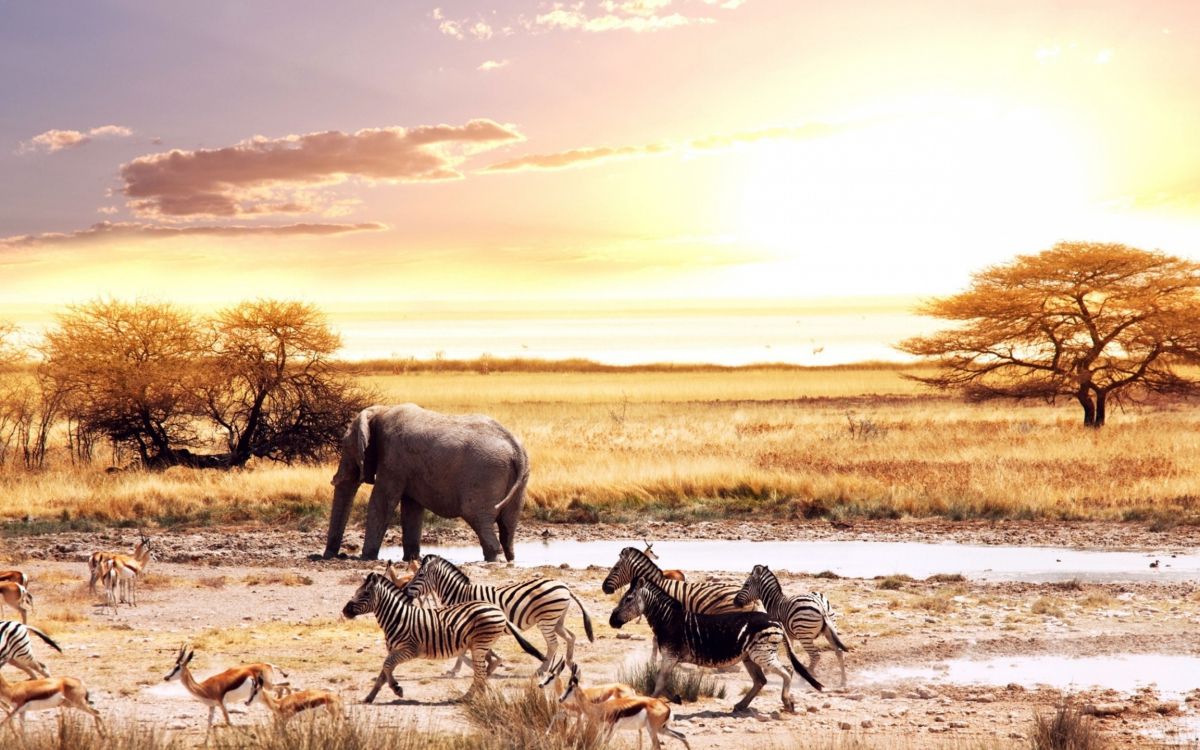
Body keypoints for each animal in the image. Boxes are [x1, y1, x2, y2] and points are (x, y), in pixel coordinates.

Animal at [321, 403, 528, 561]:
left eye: (345, 446)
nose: (331, 556)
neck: (381, 411)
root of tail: (515, 447)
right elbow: (411, 508)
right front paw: (411, 559)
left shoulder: (393, 459)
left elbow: (382, 502)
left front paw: (367, 558)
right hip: (518, 478)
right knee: (508, 526)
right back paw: (509, 560)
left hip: (485, 473)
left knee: (476, 516)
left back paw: (493, 559)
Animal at [345, 571, 547, 700]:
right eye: (356, 592)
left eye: (365, 593)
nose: (344, 611)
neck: (398, 617)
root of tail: (498, 610)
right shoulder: (393, 650)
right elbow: (383, 673)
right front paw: (369, 697)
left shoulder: (409, 649)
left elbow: (387, 667)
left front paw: (397, 689)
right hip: (481, 645)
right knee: (488, 666)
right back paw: (477, 694)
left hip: (479, 645)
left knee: (481, 672)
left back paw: (470, 696)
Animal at [400, 549, 592, 672]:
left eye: (420, 575)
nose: (405, 591)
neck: (460, 593)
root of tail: (564, 586)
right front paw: (463, 668)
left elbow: (462, 652)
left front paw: (458, 669)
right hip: (557, 619)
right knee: (571, 637)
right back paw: (569, 662)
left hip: (547, 620)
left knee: (553, 644)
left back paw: (542, 668)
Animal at [554, 662, 691, 744]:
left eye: (570, 688)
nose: (560, 699)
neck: (599, 708)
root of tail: (667, 707)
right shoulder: (604, 729)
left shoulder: (611, 728)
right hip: (662, 729)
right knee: (682, 736)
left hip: (653, 730)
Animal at [604, 576, 820, 710]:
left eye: (628, 599)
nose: (612, 621)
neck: (668, 619)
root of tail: (775, 620)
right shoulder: (670, 657)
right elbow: (661, 680)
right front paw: (675, 697)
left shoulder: (670, 655)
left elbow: (658, 682)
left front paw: (653, 701)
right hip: (750, 657)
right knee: (761, 680)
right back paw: (741, 705)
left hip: (763, 654)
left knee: (787, 672)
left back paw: (787, 702)